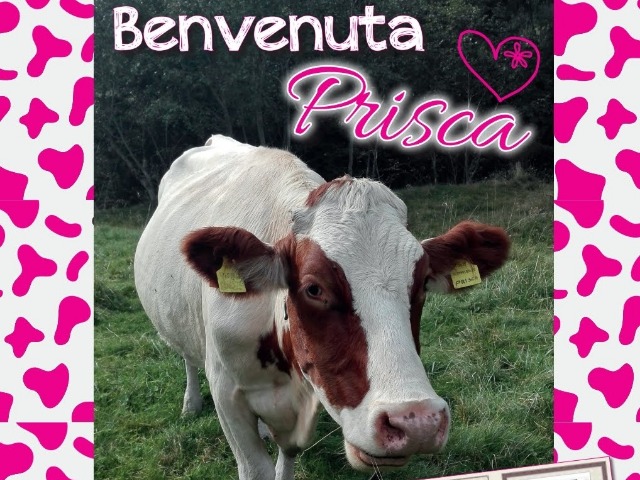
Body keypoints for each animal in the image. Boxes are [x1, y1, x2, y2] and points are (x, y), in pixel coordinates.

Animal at [134, 135, 510, 480]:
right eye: (313, 289)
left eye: (420, 286)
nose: (416, 423)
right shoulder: (227, 394)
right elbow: (256, 468)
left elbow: (287, 457)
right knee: (186, 356)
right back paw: (190, 403)